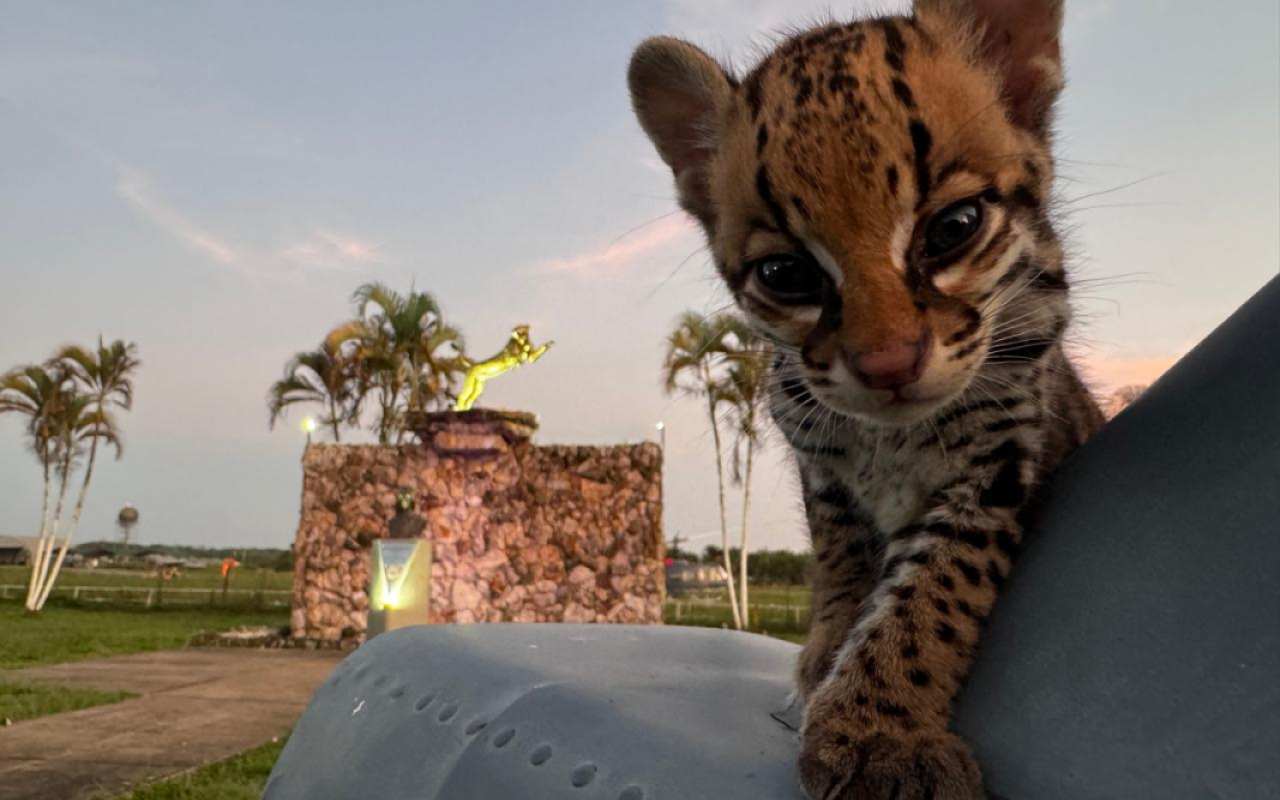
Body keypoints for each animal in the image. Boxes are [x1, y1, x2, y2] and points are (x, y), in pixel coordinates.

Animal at [629, 1, 1100, 798]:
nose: (887, 364)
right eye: (786, 274)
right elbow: (840, 551)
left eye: (954, 228)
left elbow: (939, 586)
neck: (891, 439)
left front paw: (883, 733)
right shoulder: (817, 456)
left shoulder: (1000, 455)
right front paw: (833, 649)